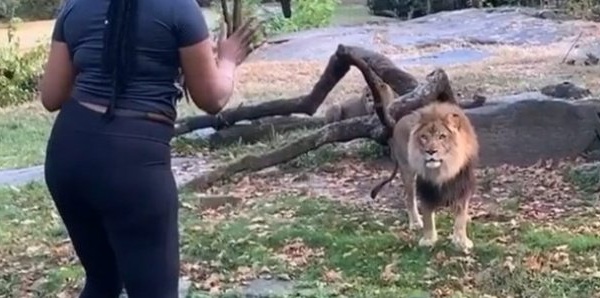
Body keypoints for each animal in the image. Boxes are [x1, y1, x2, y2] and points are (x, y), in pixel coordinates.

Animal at [368, 86, 480, 251]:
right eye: (424, 137)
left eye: (442, 136)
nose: (431, 151)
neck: (444, 168)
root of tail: (398, 122)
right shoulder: (425, 185)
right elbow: (427, 213)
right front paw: (428, 239)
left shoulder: (463, 183)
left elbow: (460, 215)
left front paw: (461, 241)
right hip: (407, 171)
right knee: (408, 198)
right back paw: (415, 222)